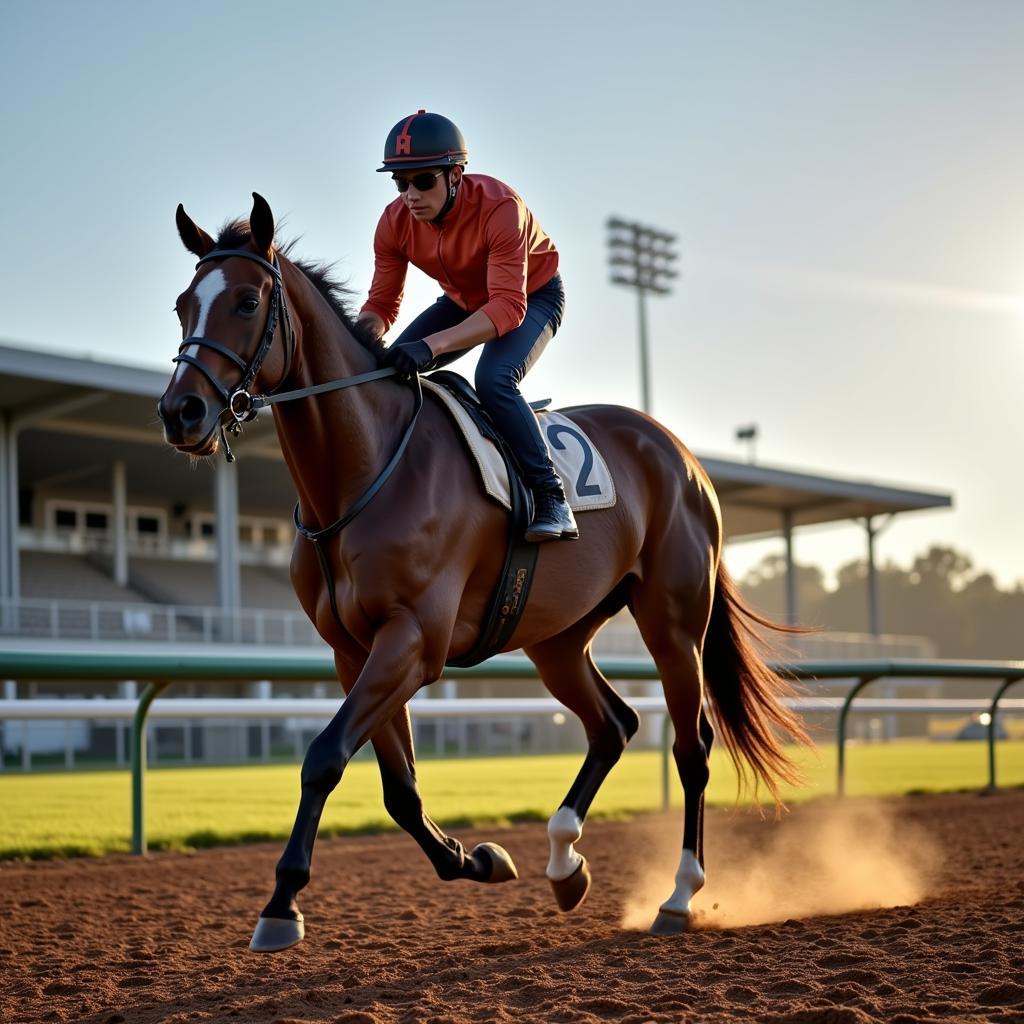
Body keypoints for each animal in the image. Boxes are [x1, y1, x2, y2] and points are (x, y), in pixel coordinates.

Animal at [155, 193, 806, 950]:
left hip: (674, 621)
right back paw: (565, 861)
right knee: (612, 724)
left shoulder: (415, 640)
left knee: (693, 746)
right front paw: (479, 859)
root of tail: (682, 455)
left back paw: (678, 894)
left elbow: (323, 756)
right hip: (557, 637)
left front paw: (282, 904)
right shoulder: (355, 649)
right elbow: (398, 788)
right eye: (182, 304)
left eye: (247, 300)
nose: (180, 411)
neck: (363, 474)